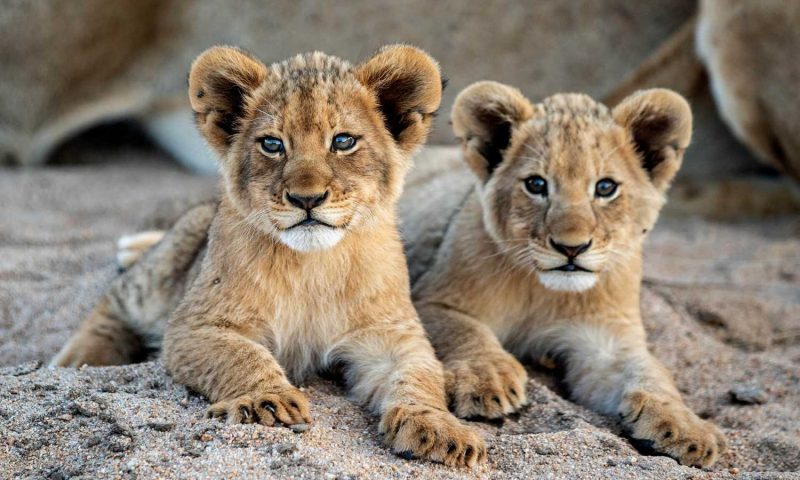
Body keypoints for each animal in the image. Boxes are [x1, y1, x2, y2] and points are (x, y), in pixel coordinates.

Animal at [51, 45, 486, 467]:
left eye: (343, 141)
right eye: (273, 144)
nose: (307, 198)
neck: (315, 267)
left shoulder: (393, 336)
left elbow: (420, 377)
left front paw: (439, 429)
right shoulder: (194, 325)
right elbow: (242, 356)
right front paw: (266, 400)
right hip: (167, 268)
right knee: (115, 297)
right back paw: (77, 360)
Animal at [403, 82, 727, 467]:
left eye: (605, 188)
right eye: (536, 184)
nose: (571, 248)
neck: (546, 292)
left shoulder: (607, 339)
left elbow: (652, 373)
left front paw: (687, 427)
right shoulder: (432, 299)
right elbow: (465, 331)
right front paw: (486, 378)